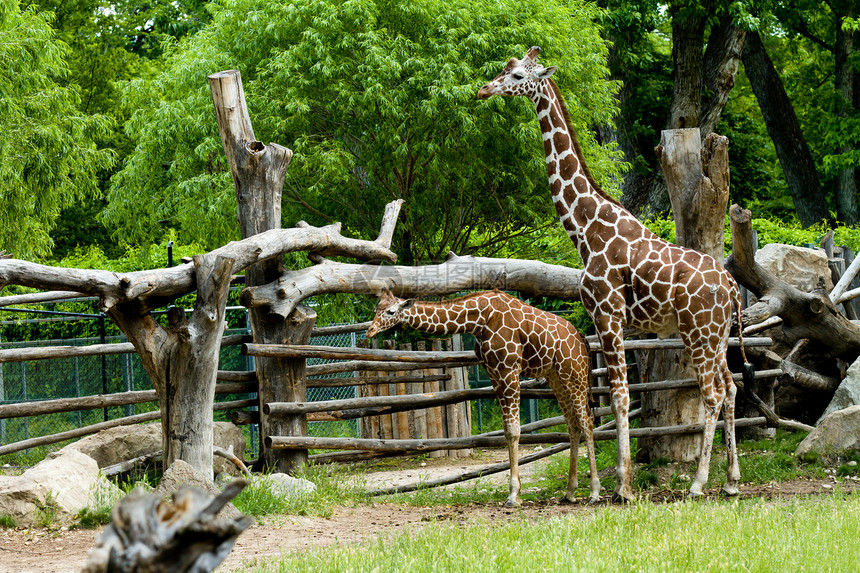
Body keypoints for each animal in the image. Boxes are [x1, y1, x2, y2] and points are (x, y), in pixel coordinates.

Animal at [362, 290, 596, 504]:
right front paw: (515, 492)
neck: (478, 321)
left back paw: (594, 492)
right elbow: (507, 431)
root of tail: (582, 340)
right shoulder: (494, 373)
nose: (370, 330)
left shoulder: (509, 369)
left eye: (391, 311)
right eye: (375, 309)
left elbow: (514, 430)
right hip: (555, 376)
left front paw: (513, 495)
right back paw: (569, 492)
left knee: (587, 421)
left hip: (574, 374)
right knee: (573, 424)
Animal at [478, 47, 752, 498]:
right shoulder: (606, 319)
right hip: (718, 336)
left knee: (712, 395)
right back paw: (730, 481)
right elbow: (609, 398)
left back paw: (698, 483)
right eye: (503, 68)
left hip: (700, 334)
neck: (585, 228)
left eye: (517, 75)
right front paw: (616, 483)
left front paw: (623, 487)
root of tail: (731, 285)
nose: (484, 89)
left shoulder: (607, 314)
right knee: (730, 388)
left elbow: (621, 396)